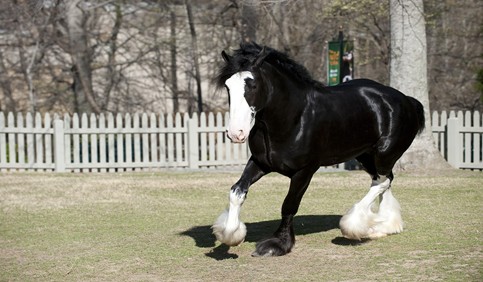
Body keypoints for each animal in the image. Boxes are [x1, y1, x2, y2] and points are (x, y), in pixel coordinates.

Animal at [212, 43, 424, 256]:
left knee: (382, 181)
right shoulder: (259, 163)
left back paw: (353, 225)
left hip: (384, 154)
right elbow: (237, 191)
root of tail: (407, 100)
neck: (294, 117)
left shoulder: (304, 171)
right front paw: (230, 235)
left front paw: (278, 244)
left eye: (252, 85)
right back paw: (383, 227)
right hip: (366, 156)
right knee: (384, 180)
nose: (236, 133)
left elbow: (289, 205)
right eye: (228, 86)